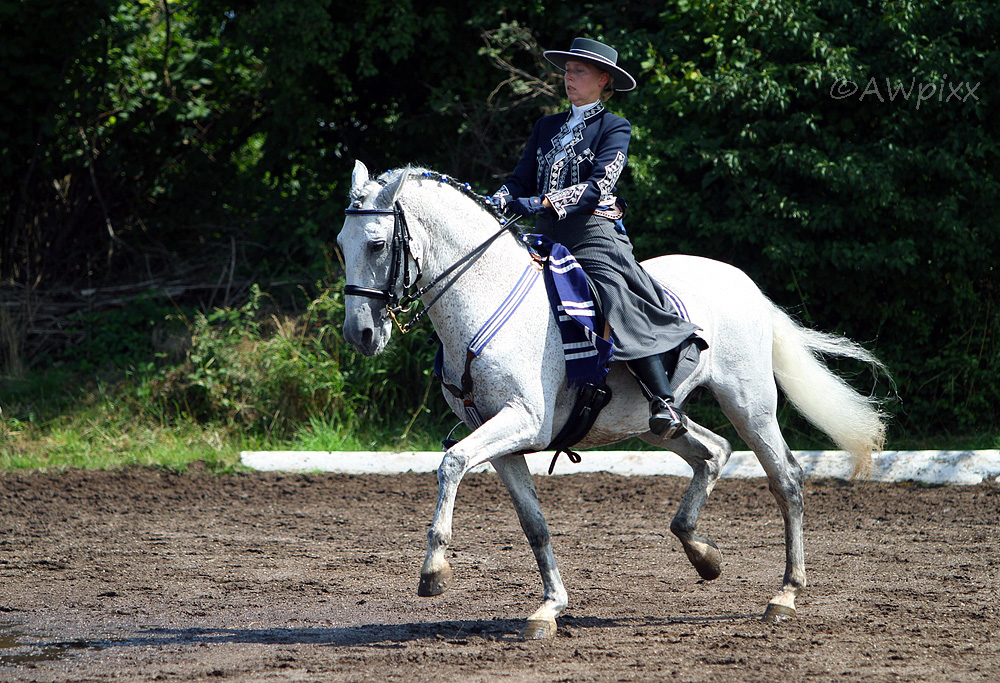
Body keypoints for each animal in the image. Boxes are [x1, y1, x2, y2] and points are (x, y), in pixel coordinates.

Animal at [340, 162, 888, 640]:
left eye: (377, 243)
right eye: (341, 246)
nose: (359, 335)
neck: (484, 295)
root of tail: (743, 283)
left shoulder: (522, 422)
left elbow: (450, 463)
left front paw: (434, 571)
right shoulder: (502, 441)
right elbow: (533, 524)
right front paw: (549, 608)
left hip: (749, 403)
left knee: (785, 479)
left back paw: (785, 595)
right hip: (654, 422)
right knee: (714, 453)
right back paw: (704, 556)